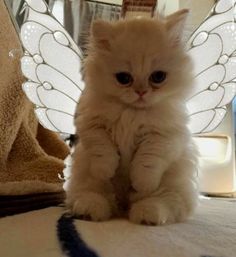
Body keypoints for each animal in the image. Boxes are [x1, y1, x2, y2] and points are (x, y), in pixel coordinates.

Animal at [66, 9, 199, 224]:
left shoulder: (165, 136)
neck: (132, 113)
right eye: (124, 78)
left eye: (158, 77)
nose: (141, 92)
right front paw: (106, 170)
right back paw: (89, 212)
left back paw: (145, 215)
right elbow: (103, 151)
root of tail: (122, 207)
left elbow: (147, 161)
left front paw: (141, 183)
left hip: (171, 189)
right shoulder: (92, 125)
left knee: (162, 203)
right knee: (94, 197)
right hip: (88, 183)